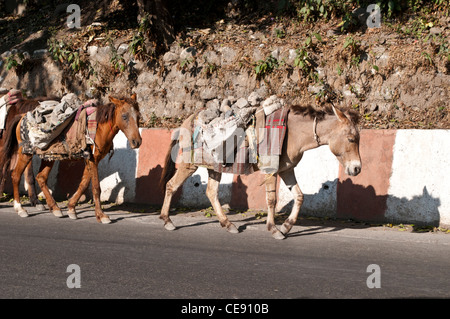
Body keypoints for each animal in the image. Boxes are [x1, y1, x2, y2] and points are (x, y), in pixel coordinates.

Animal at [5, 94, 142, 224]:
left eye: (138, 116)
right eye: (124, 116)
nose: (137, 142)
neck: (99, 128)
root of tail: (22, 116)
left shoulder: (91, 159)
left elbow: (84, 184)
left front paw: (71, 208)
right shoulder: (92, 160)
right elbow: (96, 188)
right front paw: (101, 215)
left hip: (49, 156)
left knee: (41, 177)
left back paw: (55, 208)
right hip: (25, 153)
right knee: (16, 175)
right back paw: (20, 208)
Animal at [159, 104, 362, 240]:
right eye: (351, 139)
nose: (357, 168)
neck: (293, 134)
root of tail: (187, 120)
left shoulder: (287, 170)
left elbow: (299, 196)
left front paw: (286, 227)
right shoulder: (271, 170)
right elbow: (272, 200)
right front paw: (274, 229)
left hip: (214, 167)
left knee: (211, 192)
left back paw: (228, 224)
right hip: (189, 164)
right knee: (171, 185)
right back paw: (167, 220)